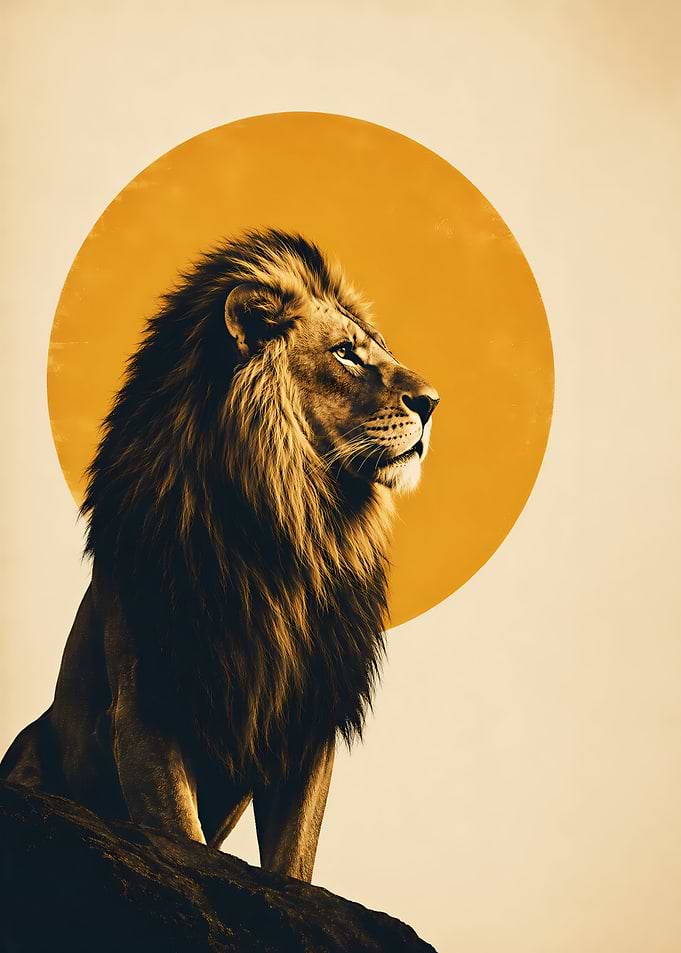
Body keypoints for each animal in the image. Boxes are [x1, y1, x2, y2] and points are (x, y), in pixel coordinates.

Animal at [1, 228, 439, 882]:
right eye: (345, 354)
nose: (433, 402)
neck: (292, 528)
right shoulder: (147, 705)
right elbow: (182, 841)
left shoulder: (308, 718)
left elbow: (293, 860)